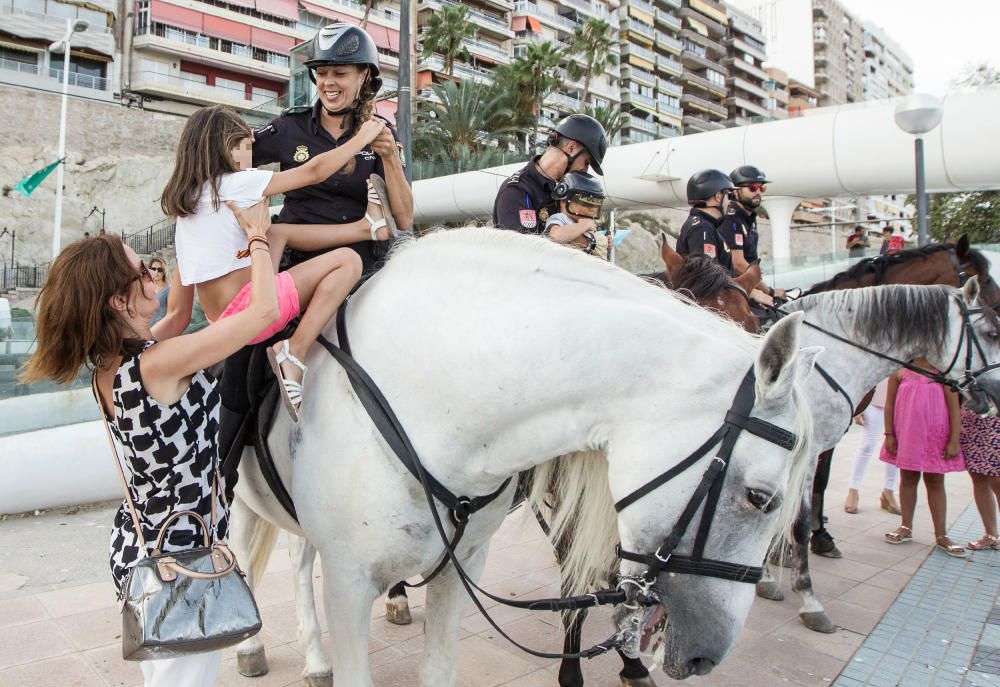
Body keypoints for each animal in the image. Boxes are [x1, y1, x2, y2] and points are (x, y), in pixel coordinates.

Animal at [229, 230, 820, 687]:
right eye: (760, 498)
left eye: (752, 316)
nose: (705, 656)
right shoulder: (348, 581)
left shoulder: (462, 568)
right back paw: (266, 649)